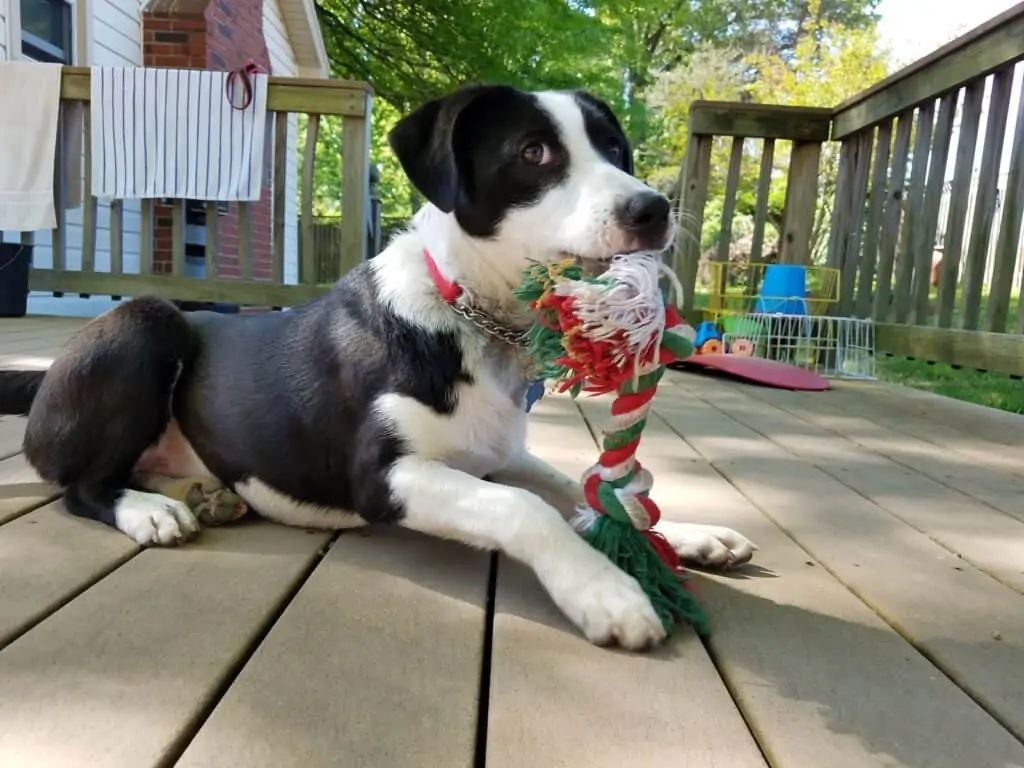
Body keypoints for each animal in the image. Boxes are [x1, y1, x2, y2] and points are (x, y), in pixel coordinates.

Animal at [0, 83, 753, 651]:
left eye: (615, 149)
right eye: (533, 152)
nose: (652, 209)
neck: (472, 318)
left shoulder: (500, 451)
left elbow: (580, 489)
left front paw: (683, 533)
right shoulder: (385, 476)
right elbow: (522, 507)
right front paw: (605, 589)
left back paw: (202, 494)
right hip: (146, 323)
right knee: (82, 487)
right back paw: (148, 511)